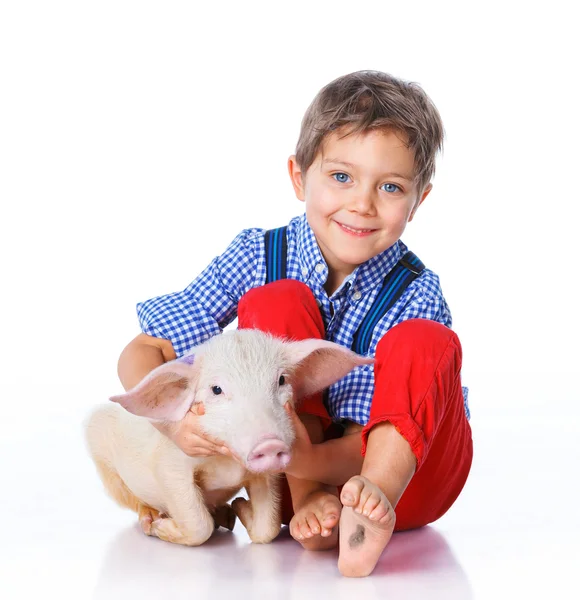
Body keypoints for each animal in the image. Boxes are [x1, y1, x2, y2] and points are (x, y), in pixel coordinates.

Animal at [84, 328, 374, 548]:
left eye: (281, 380)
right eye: (216, 389)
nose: (269, 443)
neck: (227, 464)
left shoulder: (265, 474)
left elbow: (268, 526)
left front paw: (240, 507)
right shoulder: (169, 465)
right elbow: (197, 522)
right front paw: (161, 529)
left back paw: (225, 516)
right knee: (135, 502)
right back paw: (151, 520)